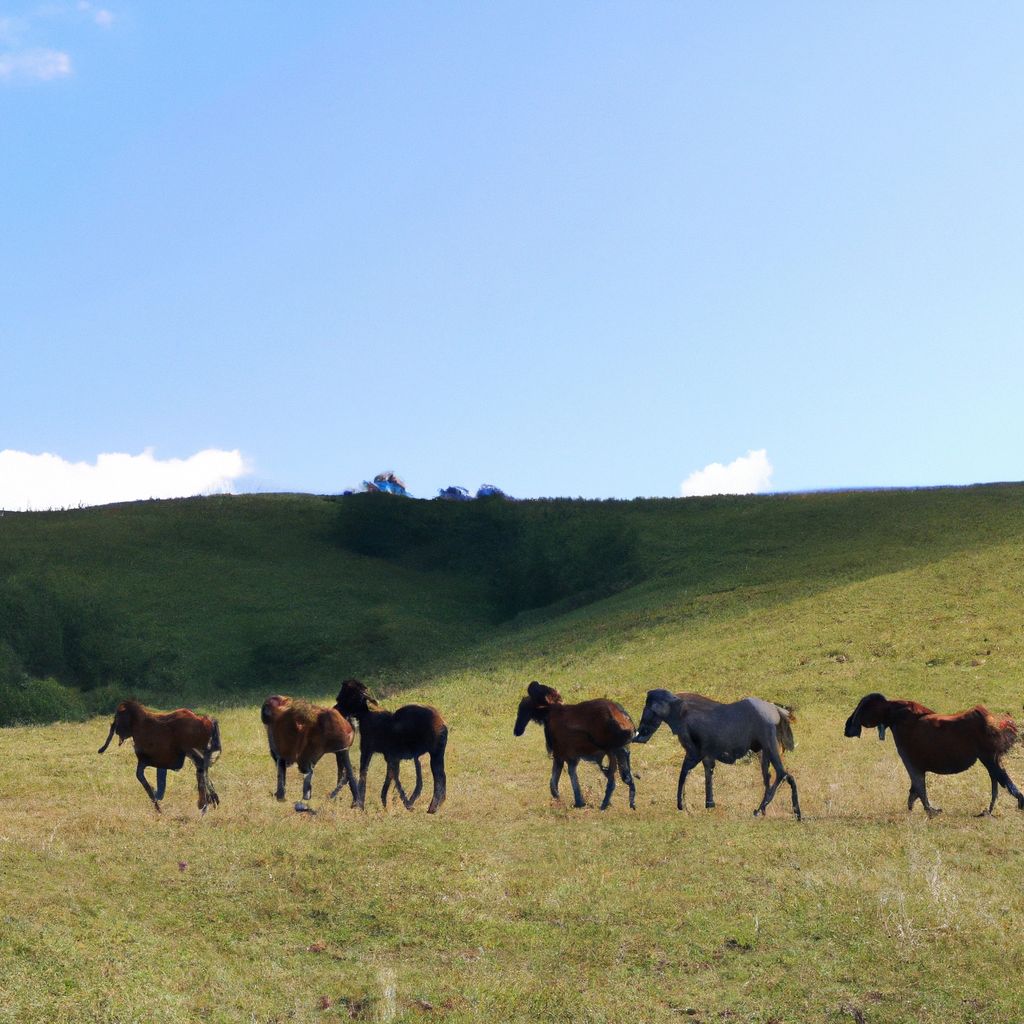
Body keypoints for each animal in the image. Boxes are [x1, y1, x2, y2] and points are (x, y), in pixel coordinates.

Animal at [335, 679, 448, 815]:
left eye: (344, 697)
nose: (335, 708)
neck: (366, 716)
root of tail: (442, 722)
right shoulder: (390, 757)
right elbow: (390, 780)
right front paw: (388, 805)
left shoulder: (371, 752)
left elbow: (367, 777)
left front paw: (362, 806)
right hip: (433, 755)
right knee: (439, 777)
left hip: (434, 753)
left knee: (439, 779)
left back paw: (432, 808)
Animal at [630, 692, 798, 819]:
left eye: (649, 707)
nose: (639, 732)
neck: (680, 711)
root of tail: (777, 710)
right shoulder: (706, 757)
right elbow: (706, 776)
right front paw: (707, 805)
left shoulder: (694, 753)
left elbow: (684, 774)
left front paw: (683, 806)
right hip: (765, 754)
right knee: (778, 777)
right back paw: (792, 813)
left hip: (769, 749)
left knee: (782, 774)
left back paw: (762, 810)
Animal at [843, 692, 1019, 819]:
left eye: (862, 708)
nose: (847, 727)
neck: (892, 714)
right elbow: (916, 789)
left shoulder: (910, 761)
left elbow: (919, 787)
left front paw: (929, 811)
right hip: (989, 759)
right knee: (997, 781)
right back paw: (989, 810)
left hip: (990, 758)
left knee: (1001, 780)